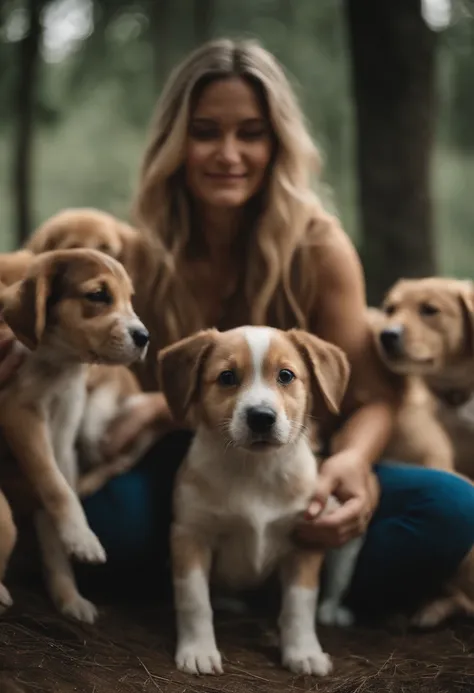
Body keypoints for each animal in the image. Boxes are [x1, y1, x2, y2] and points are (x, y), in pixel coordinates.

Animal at [0, 249, 149, 620]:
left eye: (129, 299)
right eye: (98, 295)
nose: (145, 337)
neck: (59, 365)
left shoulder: (62, 436)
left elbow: (59, 498)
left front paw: (69, 595)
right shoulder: (20, 415)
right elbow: (55, 485)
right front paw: (83, 538)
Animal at [157, 324, 350, 676]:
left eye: (286, 375)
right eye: (227, 377)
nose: (261, 417)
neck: (255, 471)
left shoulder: (306, 540)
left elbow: (300, 605)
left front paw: (303, 652)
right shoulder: (190, 534)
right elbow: (194, 601)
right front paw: (198, 650)